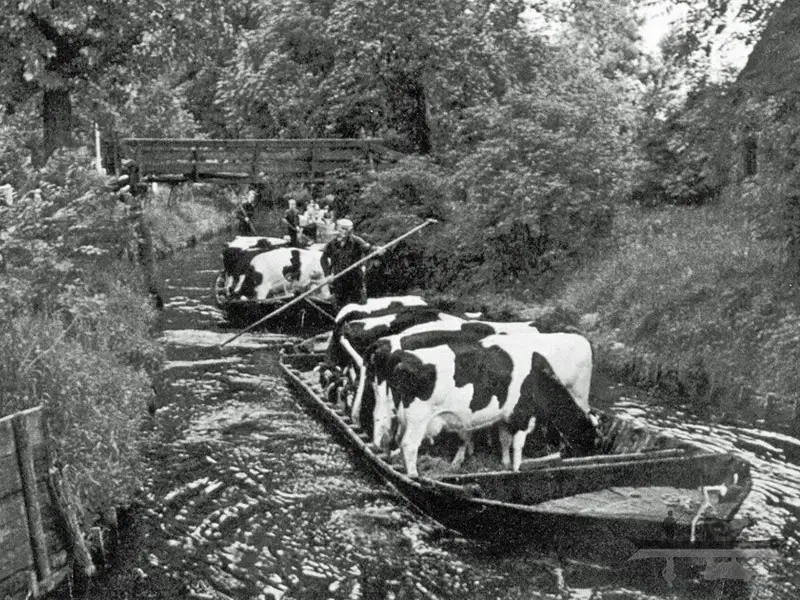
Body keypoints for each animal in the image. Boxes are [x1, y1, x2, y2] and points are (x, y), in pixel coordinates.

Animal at [374, 332, 592, 478]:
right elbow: (518, 445)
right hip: (418, 419)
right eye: (591, 435)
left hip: (397, 414)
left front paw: (504, 463)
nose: (590, 453)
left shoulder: (505, 417)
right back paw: (413, 475)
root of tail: (402, 356)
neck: (538, 378)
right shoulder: (522, 415)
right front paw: (516, 468)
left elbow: (505, 440)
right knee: (409, 445)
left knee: (392, 438)